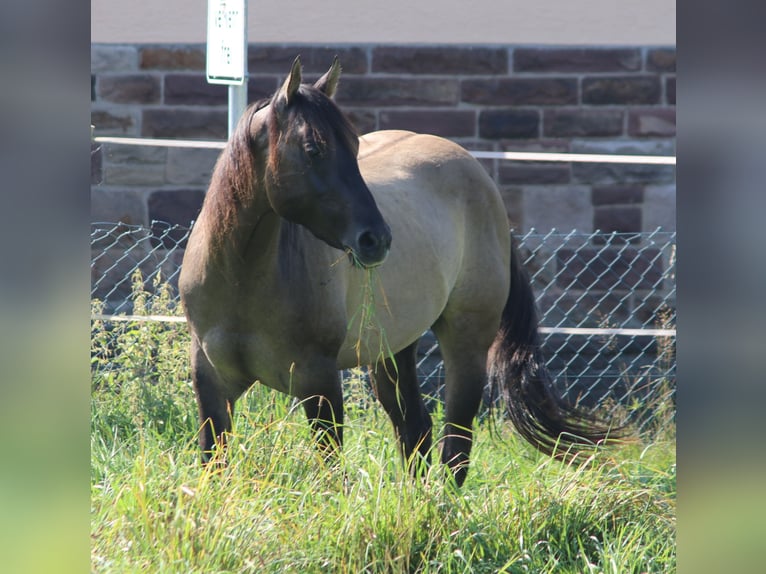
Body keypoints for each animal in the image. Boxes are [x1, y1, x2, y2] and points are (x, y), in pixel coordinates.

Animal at [180, 56, 624, 486]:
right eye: (312, 149)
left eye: (355, 145)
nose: (375, 239)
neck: (242, 278)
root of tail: (481, 178)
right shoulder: (212, 384)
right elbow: (213, 465)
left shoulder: (318, 382)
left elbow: (330, 473)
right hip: (391, 352)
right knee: (416, 431)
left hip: (466, 342)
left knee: (455, 447)